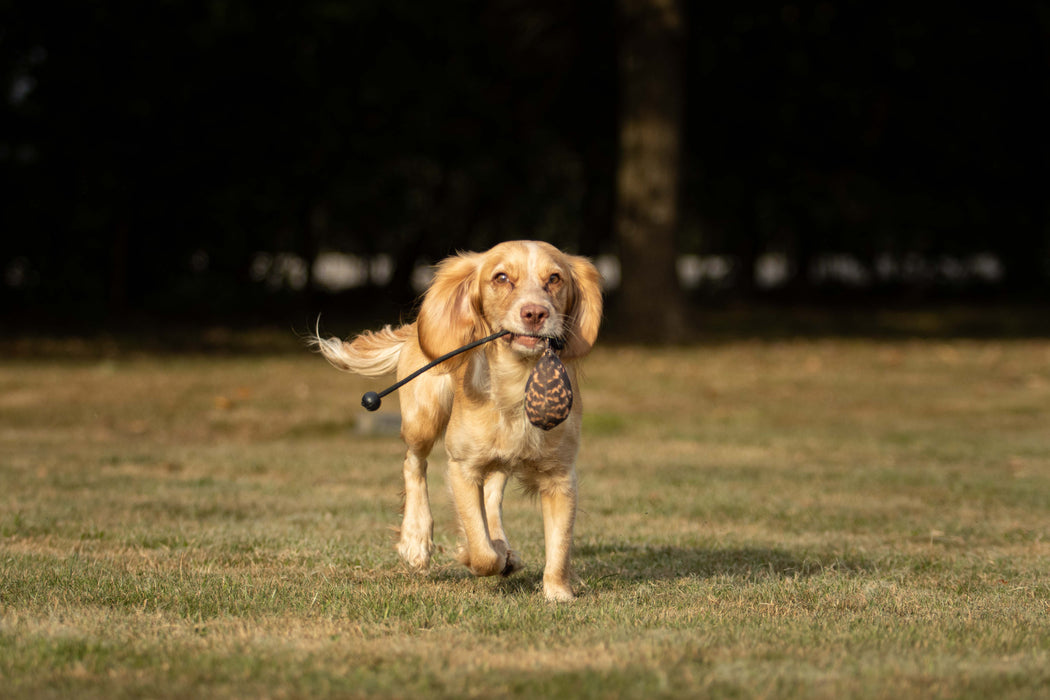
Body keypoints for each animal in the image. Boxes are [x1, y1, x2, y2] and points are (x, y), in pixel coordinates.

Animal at [310, 242, 600, 604]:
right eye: (501, 277)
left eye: (555, 278)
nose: (535, 314)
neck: (515, 382)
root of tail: (420, 323)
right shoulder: (462, 467)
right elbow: (481, 549)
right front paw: (475, 554)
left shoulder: (560, 476)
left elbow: (559, 544)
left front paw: (558, 594)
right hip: (424, 415)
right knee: (413, 462)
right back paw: (416, 539)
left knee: (491, 494)